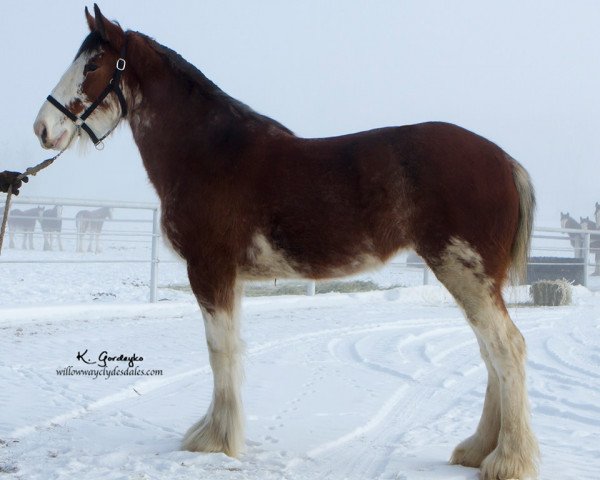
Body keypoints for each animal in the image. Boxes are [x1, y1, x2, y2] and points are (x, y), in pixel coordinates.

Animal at [31, 5, 540, 478]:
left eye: (93, 66)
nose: (42, 129)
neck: (208, 152)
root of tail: (505, 161)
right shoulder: (230, 278)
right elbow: (231, 350)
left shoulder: (210, 271)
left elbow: (219, 352)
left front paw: (214, 440)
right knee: (490, 354)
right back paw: (477, 450)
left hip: (465, 273)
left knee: (507, 348)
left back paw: (506, 460)